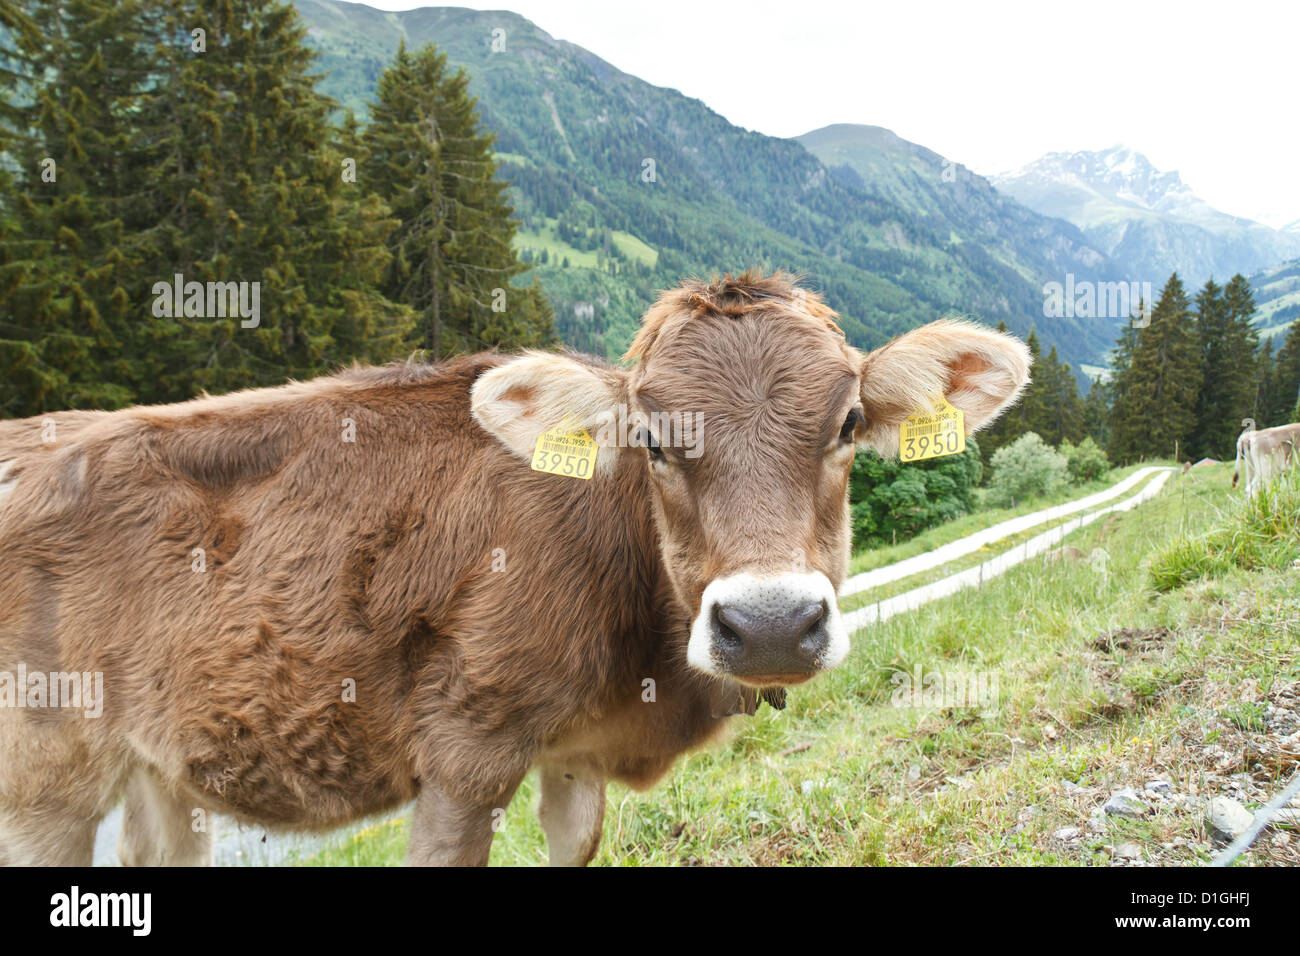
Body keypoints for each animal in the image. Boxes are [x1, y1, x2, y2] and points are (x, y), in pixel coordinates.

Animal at [0, 271, 1030, 866]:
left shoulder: (573, 758)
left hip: (155, 770)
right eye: (652, 438)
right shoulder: (467, 752)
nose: (772, 623)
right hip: (45, 779)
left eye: (849, 424)